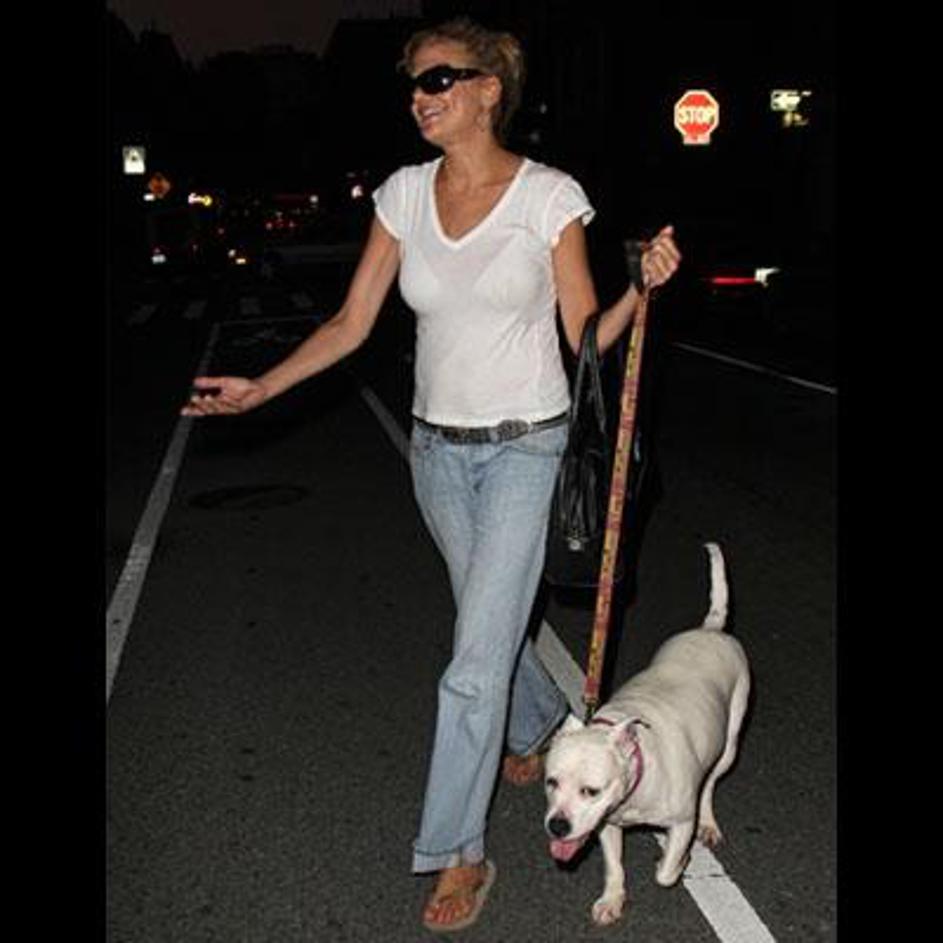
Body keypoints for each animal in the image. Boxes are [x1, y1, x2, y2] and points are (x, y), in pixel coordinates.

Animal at [543, 542, 750, 926]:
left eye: (590, 790)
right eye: (551, 782)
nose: (558, 827)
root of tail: (711, 628)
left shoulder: (681, 822)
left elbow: (665, 874)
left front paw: (678, 861)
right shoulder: (607, 824)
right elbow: (614, 867)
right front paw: (612, 899)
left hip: (729, 744)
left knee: (710, 783)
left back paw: (708, 823)